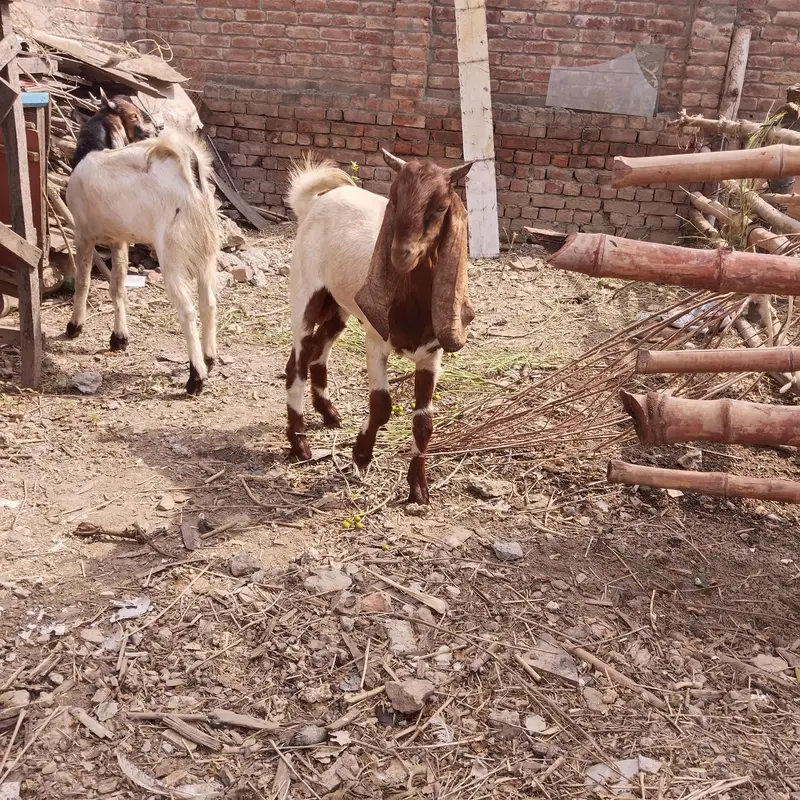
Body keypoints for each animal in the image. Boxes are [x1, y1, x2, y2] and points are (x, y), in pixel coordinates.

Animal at [65, 127, 219, 396]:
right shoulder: (118, 240)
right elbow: (117, 286)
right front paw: (119, 338)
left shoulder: (83, 233)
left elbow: (83, 283)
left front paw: (75, 326)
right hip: (204, 252)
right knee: (208, 304)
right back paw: (208, 359)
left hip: (172, 256)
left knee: (188, 312)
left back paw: (195, 378)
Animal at [285, 148, 474, 504]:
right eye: (394, 199)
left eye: (441, 207)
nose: (401, 254)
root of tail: (312, 203)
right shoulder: (376, 343)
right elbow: (381, 406)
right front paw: (361, 455)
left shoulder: (432, 355)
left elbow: (424, 422)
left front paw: (418, 488)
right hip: (306, 294)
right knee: (298, 362)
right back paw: (299, 443)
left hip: (339, 306)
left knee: (318, 348)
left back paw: (328, 413)